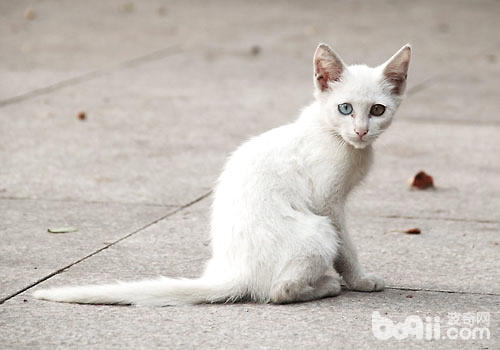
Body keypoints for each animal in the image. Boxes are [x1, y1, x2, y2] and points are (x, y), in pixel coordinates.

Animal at [34, 43, 410, 306]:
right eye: (345, 108)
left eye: (377, 110)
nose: (361, 131)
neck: (335, 136)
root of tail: (236, 273)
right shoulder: (328, 202)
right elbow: (347, 248)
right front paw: (360, 280)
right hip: (317, 230)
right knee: (279, 292)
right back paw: (325, 286)